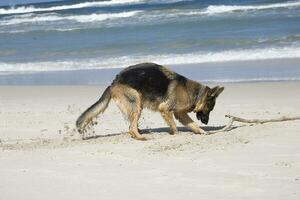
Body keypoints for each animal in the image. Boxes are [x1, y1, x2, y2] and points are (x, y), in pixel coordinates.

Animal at [76, 63, 224, 141]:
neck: (195, 94)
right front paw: (176, 135)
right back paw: (141, 137)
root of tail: (114, 82)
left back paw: (140, 133)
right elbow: (174, 126)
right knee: (131, 128)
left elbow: (192, 124)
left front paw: (202, 131)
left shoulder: (180, 114)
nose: (206, 122)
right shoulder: (165, 109)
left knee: (131, 126)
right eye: (209, 109)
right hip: (136, 102)